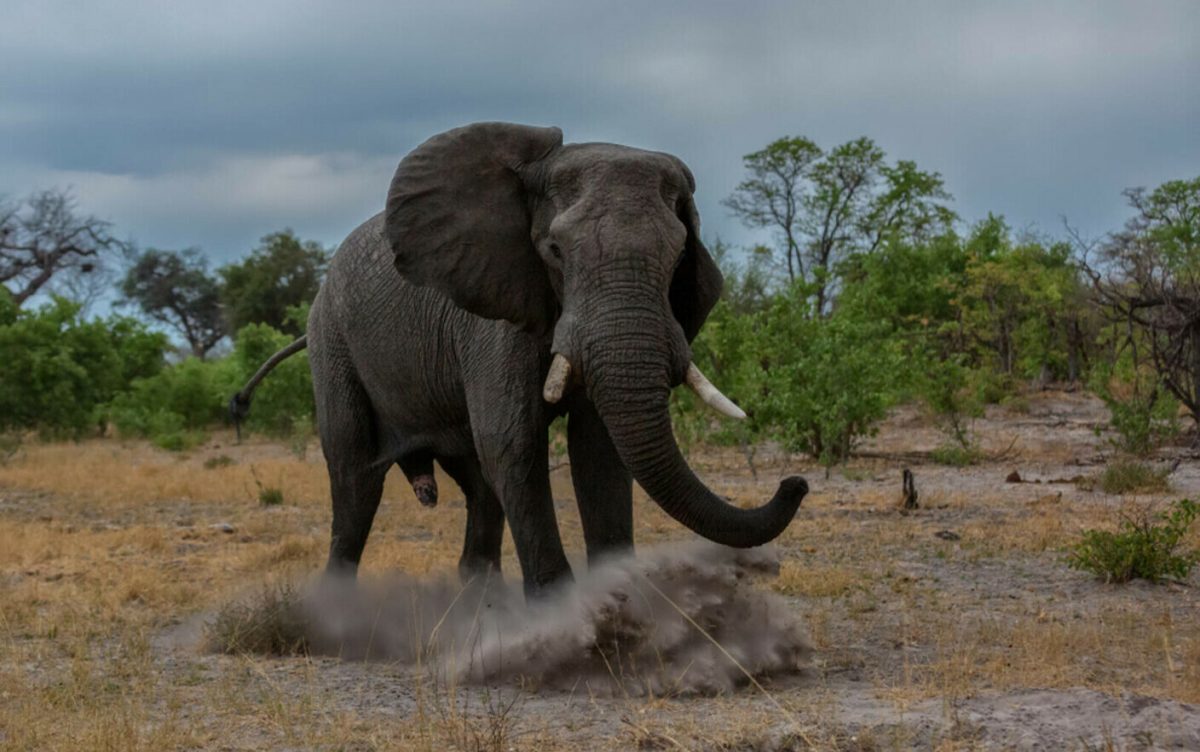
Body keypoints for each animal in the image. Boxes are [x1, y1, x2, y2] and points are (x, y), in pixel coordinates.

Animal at [232, 122, 808, 598]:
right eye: (554, 252)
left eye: (679, 254)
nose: (795, 482)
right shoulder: (494, 317)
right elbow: (513, 441)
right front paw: (564, 619)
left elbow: (598, 450)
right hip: (332, 341)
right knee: (355, 473)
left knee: (476, 480)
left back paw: (480, 595)